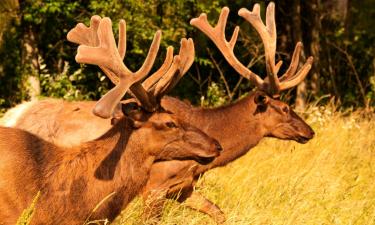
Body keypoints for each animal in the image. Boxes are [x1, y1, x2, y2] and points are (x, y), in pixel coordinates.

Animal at [1, 2, 316, 225]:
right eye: (285, 108)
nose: (309, 131)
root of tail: (12, 114)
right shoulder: (154, 188)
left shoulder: (183, 188)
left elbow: (219, 213)